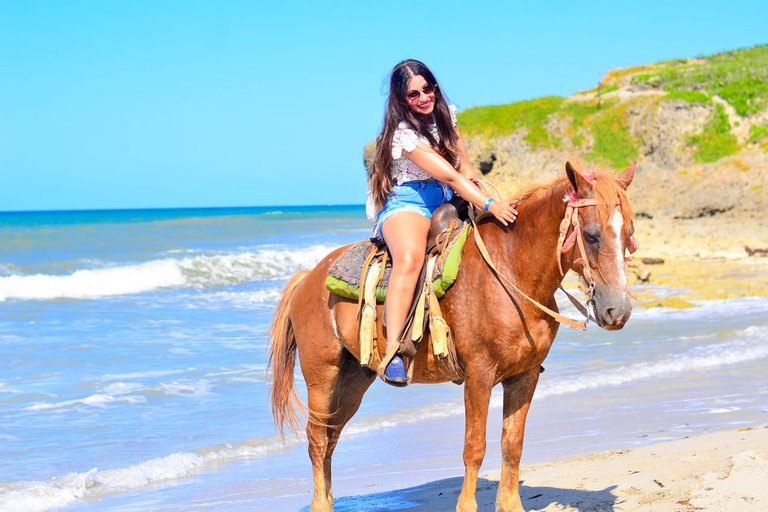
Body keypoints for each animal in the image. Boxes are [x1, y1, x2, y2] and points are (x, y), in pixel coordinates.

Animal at [270, 161, 636, 512]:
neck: (510, 271)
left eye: (628, 233)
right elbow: (474, 447)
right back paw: (320, 504)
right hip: (322, 374)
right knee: (317, 438)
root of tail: (308, 277)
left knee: (330, 437)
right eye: (591, 235)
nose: (618, 311)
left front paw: (510, 504)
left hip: (354, 379)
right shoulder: (479, 376)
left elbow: (512, 444)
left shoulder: (525, 376)